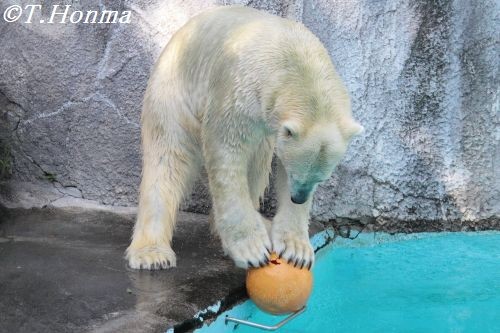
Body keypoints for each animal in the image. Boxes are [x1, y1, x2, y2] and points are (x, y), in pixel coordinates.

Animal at [124, 5, 360, 270]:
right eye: (297, 173)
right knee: (167, 160)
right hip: (173, 95)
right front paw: (250, 249)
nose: (298, 197)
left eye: (321, 178)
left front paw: (296, 249)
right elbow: (227, 152)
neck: (294, 58)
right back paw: (151, 253)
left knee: (258, 161)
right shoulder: (241, 88)